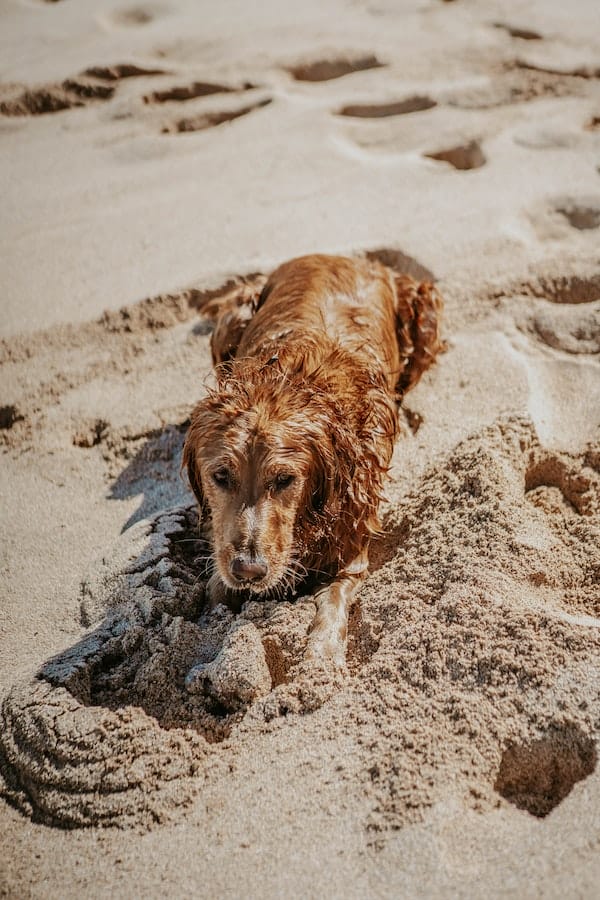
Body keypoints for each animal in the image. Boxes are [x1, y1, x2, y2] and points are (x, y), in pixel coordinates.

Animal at [180, 253, 442, 668]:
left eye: (285, 480)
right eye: (220, 476)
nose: (249, 570)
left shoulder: (351, 547)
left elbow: (332, 602)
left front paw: (321, 658)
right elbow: (216, 589)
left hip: (425, 312)